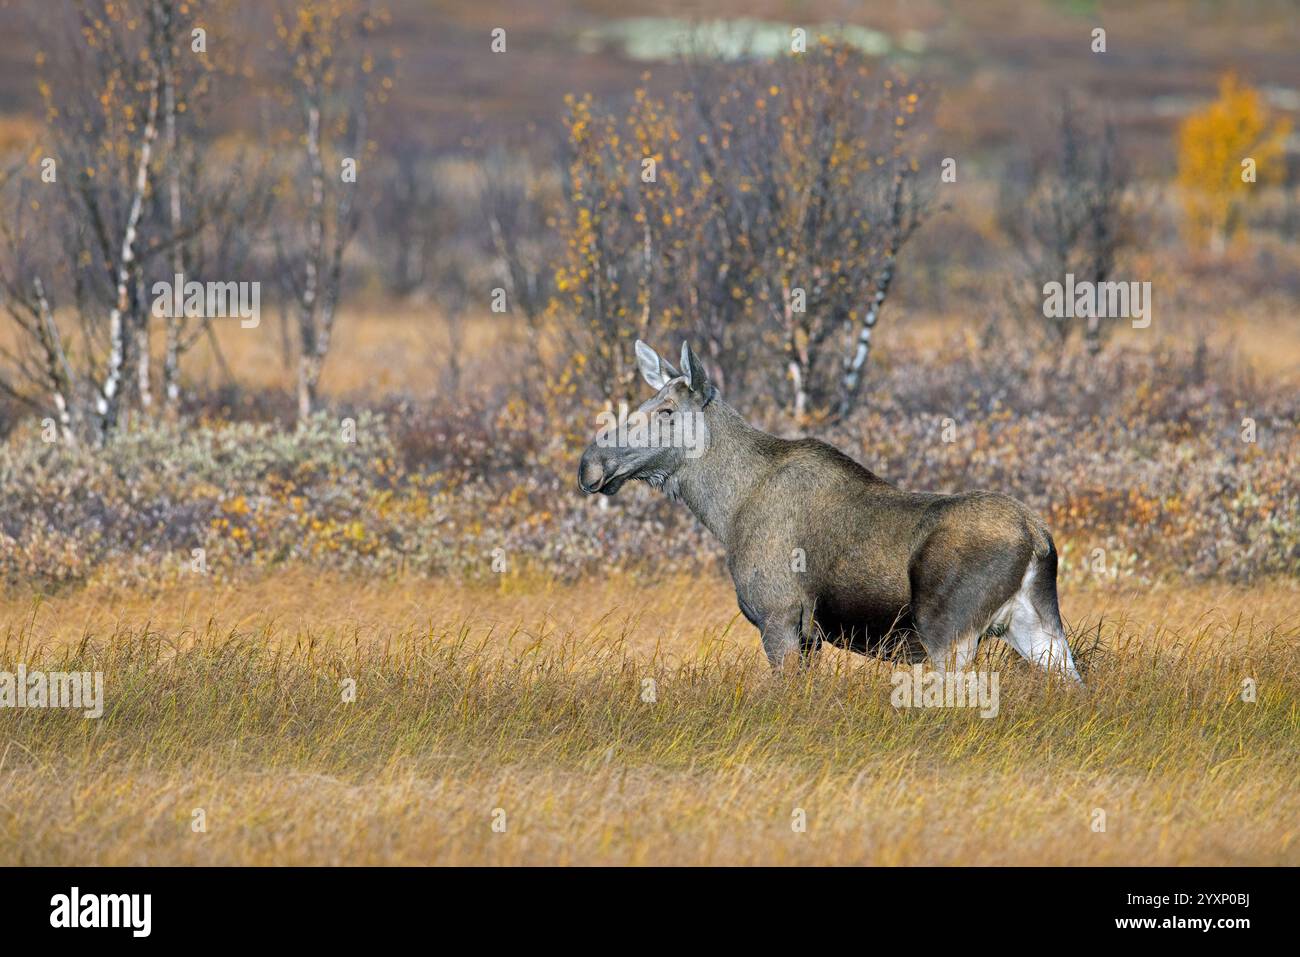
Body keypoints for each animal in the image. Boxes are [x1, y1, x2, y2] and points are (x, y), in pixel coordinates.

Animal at [582, 340, 1086, 686]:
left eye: (666, 410)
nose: (590, 463)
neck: (726, 509)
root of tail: (1038, 537)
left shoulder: (780, 618)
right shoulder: (810, 637)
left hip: (949, 631)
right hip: (1038, 628)